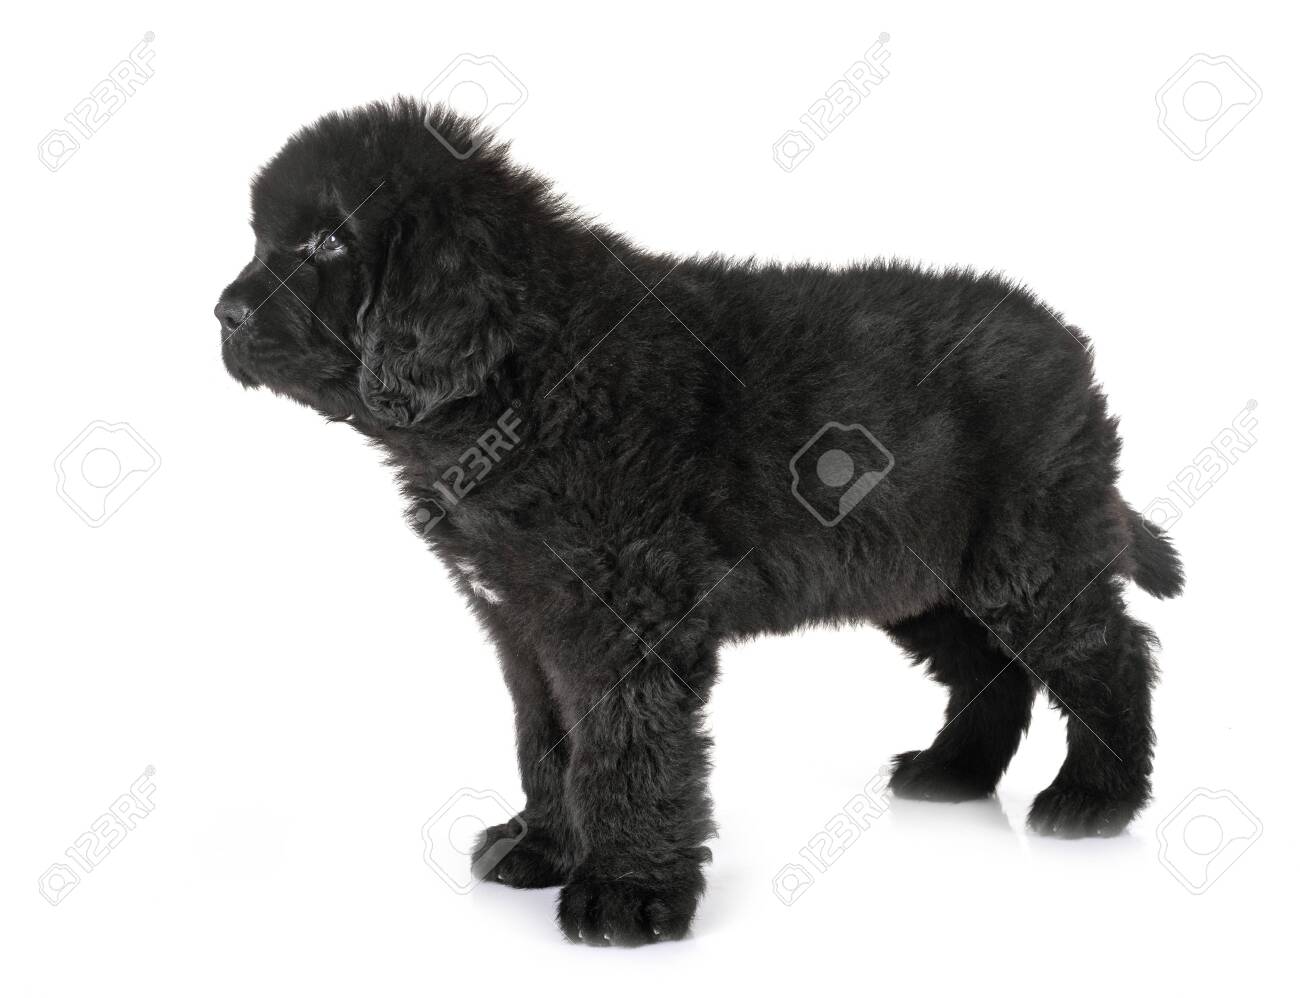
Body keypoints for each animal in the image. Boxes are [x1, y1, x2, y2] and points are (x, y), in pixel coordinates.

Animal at [217, 98, 1184, 945]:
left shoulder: (626, 618)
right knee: (992, 666)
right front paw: (542, 848)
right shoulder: (525, 624)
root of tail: (1071, 348)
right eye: (263, 240)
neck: (521, 378)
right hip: (921, 579)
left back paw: (1094, 799)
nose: (222, 314)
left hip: (1028, 555)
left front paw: (625, 895)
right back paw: (954, 773)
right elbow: (548, 743)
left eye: (329, 240)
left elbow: (627, 751)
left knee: (1110, 655)